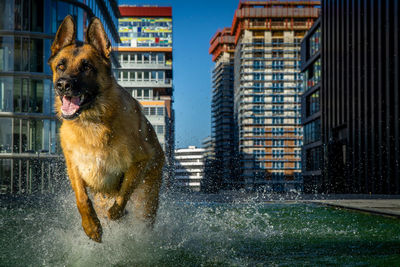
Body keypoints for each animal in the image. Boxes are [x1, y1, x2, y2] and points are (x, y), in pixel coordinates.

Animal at [48, 15, 164, 244]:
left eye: (86, 67)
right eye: (60, 66)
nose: (63, 85)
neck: (92, 121)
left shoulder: (140, 161)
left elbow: (123, 193)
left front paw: (116, 214)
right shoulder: (74, 166)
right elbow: (82, 198)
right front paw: (91, 227)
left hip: (148, 198)